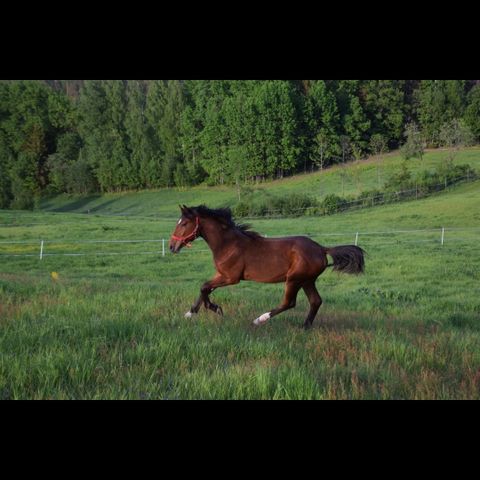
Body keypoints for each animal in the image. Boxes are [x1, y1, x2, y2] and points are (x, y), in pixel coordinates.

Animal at [169, 202, 364, 330]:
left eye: (184, 223)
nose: (172, 246)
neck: (228, 244)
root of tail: (322, 249)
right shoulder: (221, 274)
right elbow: (204, 288)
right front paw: (191, 313)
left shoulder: (231, 278)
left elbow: (204, 287)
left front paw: (216, 309)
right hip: (307, 280)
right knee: (315, 301)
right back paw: (304, 327)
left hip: (294, 279)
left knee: (289, 302)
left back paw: (259, 320)